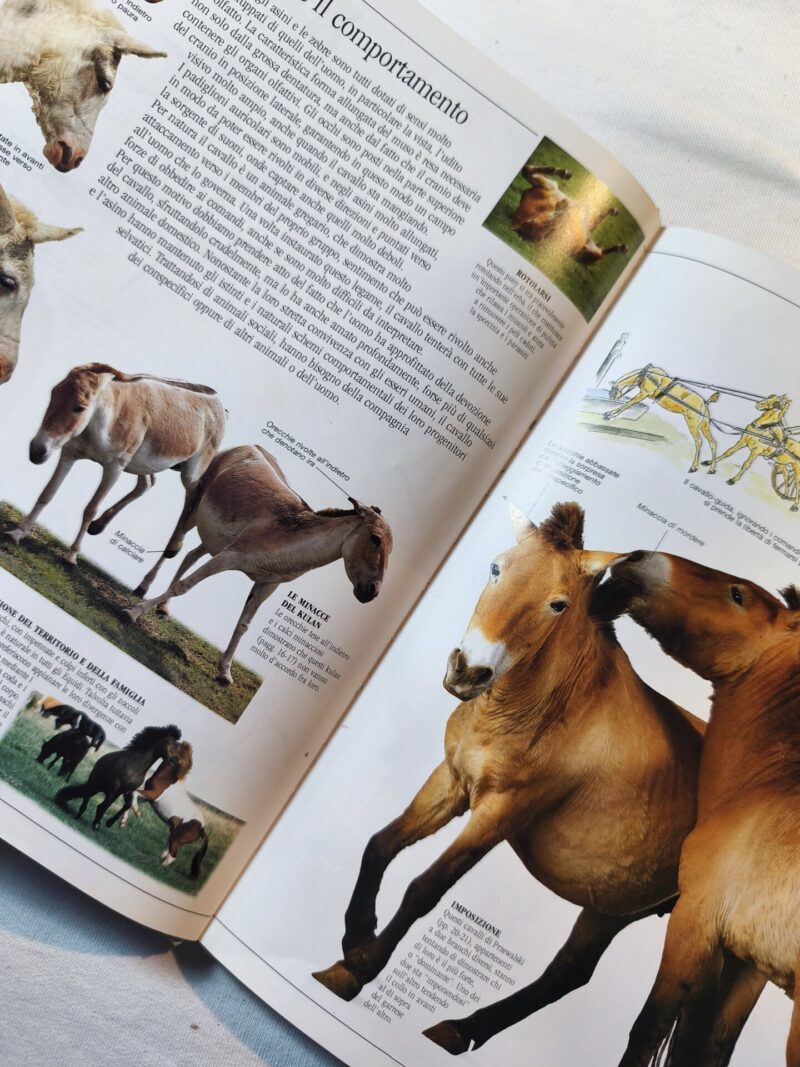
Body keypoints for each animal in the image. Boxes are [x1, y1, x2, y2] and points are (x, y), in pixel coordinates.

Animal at [7, 363, 226, 567]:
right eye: (53, 392)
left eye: (80, 407)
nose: (36, 451)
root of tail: (220, 405)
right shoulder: (69, 454)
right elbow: (46, 494)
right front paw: (17, 533)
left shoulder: (114, 468)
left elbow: (90, 509)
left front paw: (71, 556)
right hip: (140, 463)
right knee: (147, 483)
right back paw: (99, 526)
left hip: (191, 472)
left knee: (192, 496)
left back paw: (173, 547)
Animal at [117, 743, 209, 879]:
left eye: (174, 745)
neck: (166, 779)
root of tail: (202, 829)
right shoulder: (147, 798)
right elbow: (131, 799)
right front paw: (123, 822)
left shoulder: (153, 795)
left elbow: (134, 793)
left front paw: (137, 814)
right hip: (173, 834)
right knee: (167, 853)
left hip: (177, 839)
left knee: (172, 856)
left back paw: (157, 869)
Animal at [124, 444, 393, 686]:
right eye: (375, 539)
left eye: (392, 549)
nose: (372, 592)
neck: (286, 538)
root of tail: (251, 445)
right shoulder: (229, 556)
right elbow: (184, 586)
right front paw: (133, 612)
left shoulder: (268, 583)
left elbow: (245, 623)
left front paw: (225, 672)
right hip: (196, 510)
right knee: (173, 545)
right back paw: (143, 588)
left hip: (214, 540)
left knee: (190, 555)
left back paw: (164, 608)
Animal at [311, 502, 746, 1060]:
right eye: (496, 567)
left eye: (558, 604)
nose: (468, 672)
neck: (535, 711)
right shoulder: (451, 782)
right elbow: (380, 845)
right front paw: (354, 939)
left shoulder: (502, 812)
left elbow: (425, 887)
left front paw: (359, 968)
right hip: (613, 907)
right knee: (569, 973)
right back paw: (459, 1029)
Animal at [600, 550, 800, 1066]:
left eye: (737, 594)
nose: (637, 558)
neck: (763, 787)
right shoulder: (746, 966)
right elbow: (708, 1047)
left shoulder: (694, 922)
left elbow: (649, 1029)